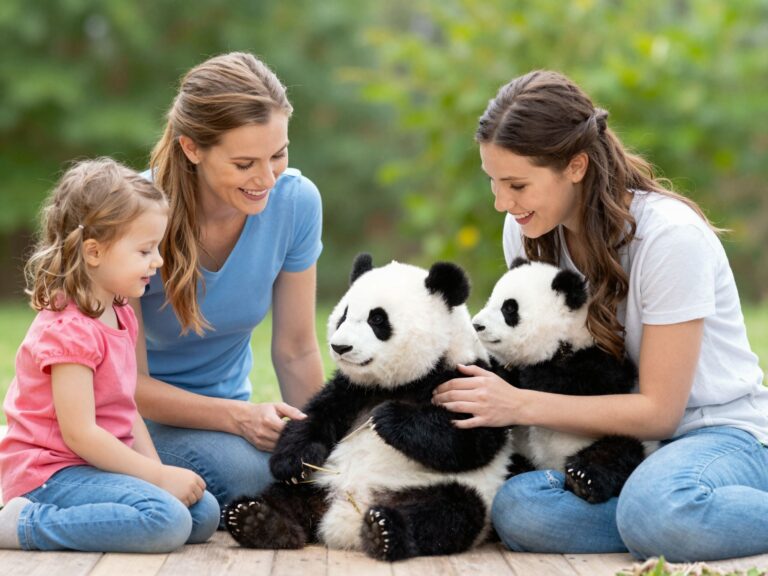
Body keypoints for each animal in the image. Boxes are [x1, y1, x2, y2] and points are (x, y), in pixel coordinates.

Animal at [224, 254, 516, 561]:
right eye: (343, 315)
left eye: (377, 319)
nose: (340, 347)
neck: (395, 384)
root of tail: (345, 522)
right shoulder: (351, 390)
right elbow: (315, 417)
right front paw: (293, 463)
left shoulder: (465, 376)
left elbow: (470, 438)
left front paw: (386, 418)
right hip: (317, 484)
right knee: (284, 497)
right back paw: (255, 520)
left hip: (449, 489)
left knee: (447, 514)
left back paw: (384, 530)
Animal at [472, 257, 656, 504]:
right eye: (491, 299)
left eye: (509, 308)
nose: (477, 325)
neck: (562, 340)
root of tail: (552, 467)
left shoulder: (601, 361)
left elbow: (579, 382)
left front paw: (526, 377)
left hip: (625, 435)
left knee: (619, 452)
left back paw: (583, 479)